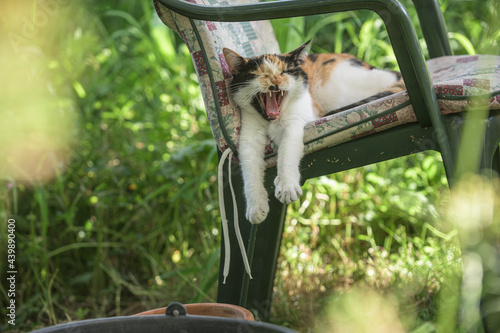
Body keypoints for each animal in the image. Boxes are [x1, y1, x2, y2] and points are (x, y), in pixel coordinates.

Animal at [224, 40, 406, 223]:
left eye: (284, 72)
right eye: (259, 75)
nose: (275, 82)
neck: (271, 122)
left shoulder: (296, 123)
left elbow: (287, 153)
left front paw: (287, 186)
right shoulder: (248, 136)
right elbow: (250, 169)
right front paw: (256, 207)